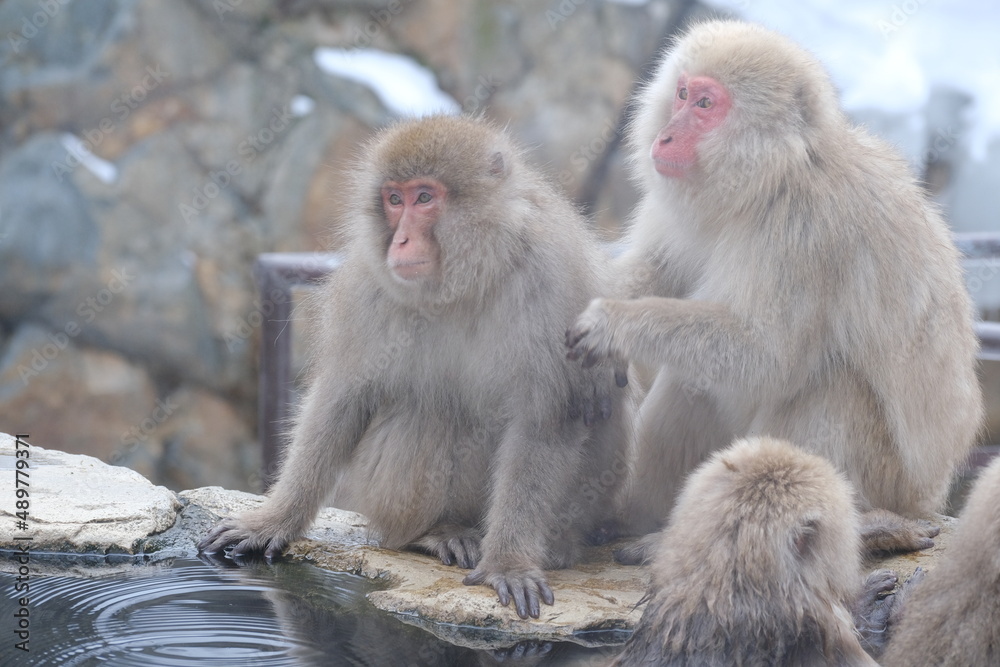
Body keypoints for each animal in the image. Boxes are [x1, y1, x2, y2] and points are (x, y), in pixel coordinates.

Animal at [200, 115, 636, 620]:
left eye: (424, 198)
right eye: (394, 200)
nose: (402, 240)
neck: (467, 279)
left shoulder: (553, 279)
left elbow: (546, 417)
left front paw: (508, 561)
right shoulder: (367, 285)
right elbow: (343, 396)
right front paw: (275, 519)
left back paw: (557, 542)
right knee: (428, 412)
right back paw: (437, 532)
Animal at [568, 20, 980, 560]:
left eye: (706, 104)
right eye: (681, 94)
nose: (666, 135)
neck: (770, 180)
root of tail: (930, 497)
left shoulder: (804, 229)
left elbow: (767, 354)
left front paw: (613, 323)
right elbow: (657, 270)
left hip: (894, 483)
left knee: (828, 388)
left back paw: (866, 527)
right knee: (694, 381)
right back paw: (639, 520)